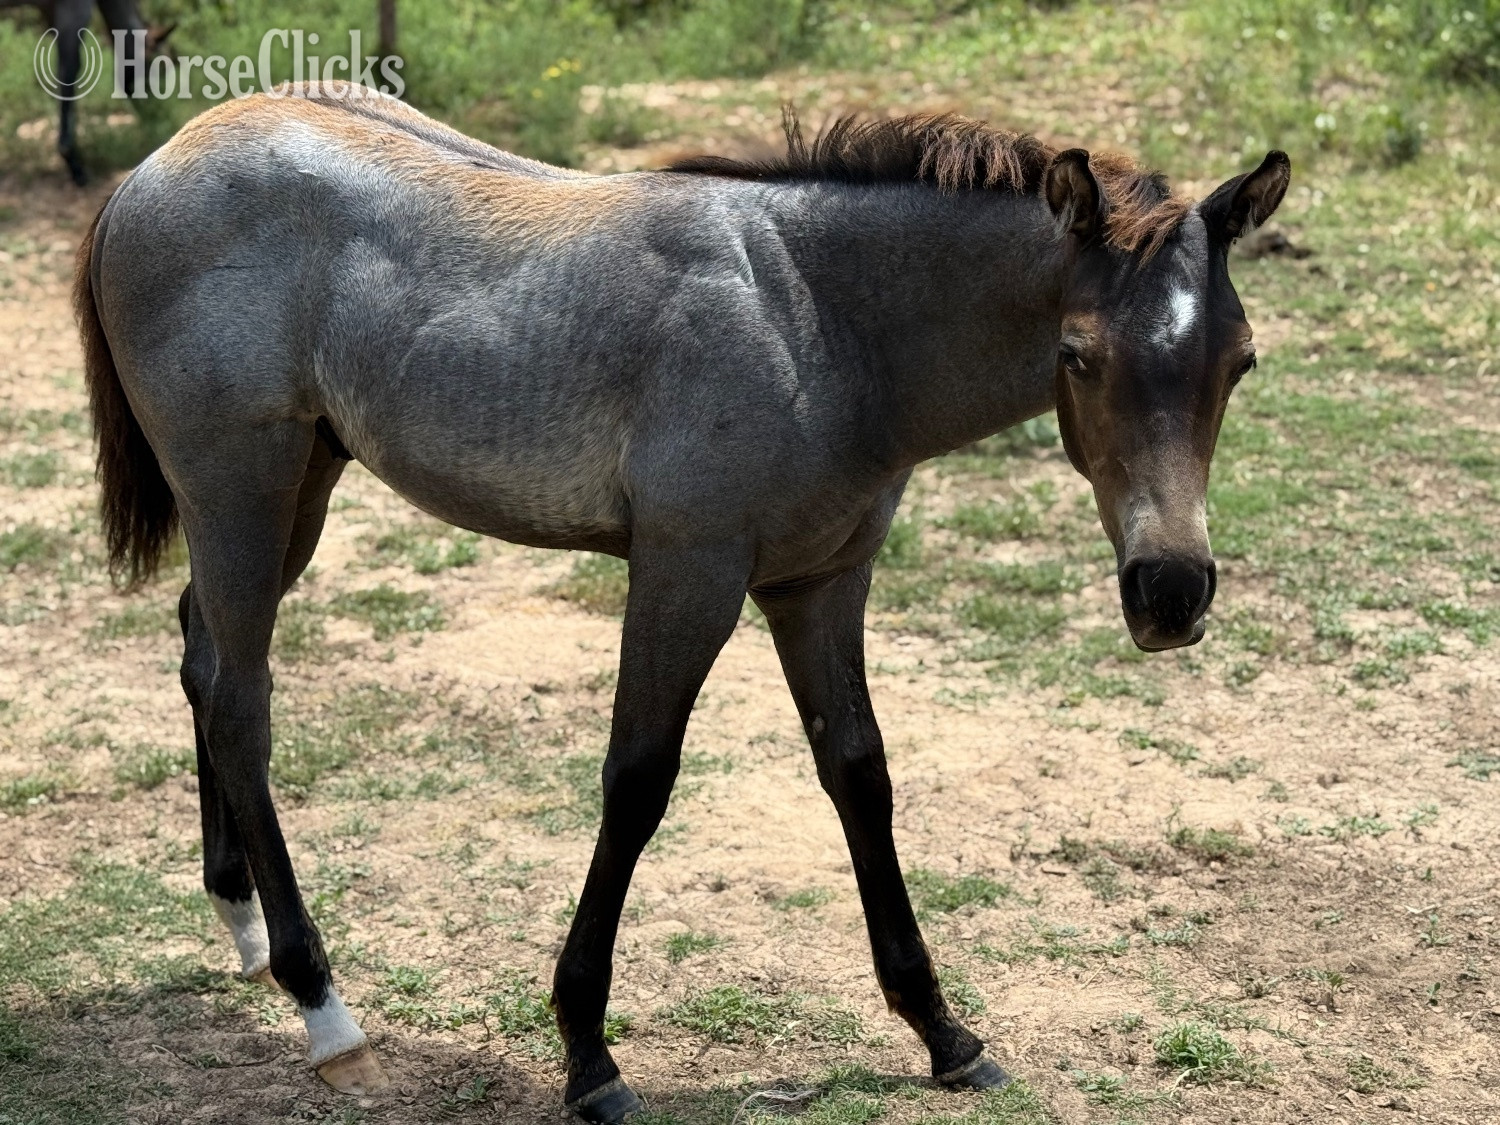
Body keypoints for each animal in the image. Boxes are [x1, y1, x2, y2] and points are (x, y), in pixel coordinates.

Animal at [1, 0, 172, 184]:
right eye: (161, 69)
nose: (155, 116)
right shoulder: (74, 11)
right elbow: (68, 73)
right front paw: (73, 162)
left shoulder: (48, 10)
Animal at [74, 83, 1288, 1122]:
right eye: (1078, 356)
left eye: (1240, 361)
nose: (1171, 591)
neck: (818, 322)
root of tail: (148, 173)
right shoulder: (687, 568)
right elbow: (638, 783)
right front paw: (587, 1055)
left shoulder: (820, 581)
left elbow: (861, 775)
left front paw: (944, 1032)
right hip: (242, 484)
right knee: (244, 704)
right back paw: (324, 1008)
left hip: (300, 488)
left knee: (201, 656)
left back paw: (238, 923)